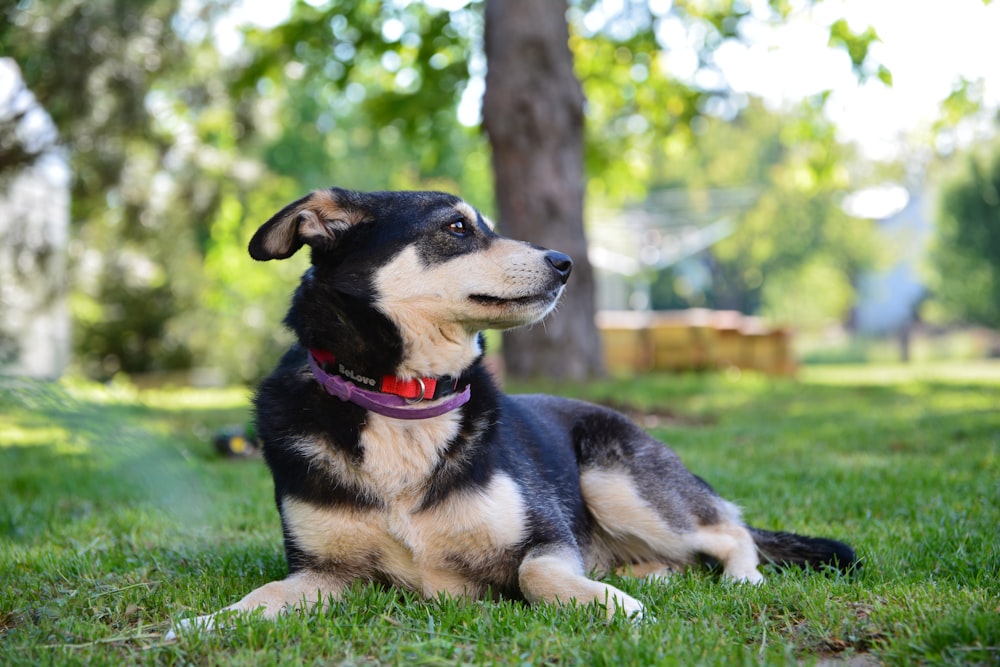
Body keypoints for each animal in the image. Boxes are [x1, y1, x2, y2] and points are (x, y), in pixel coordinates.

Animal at [168, 188, 856, 636]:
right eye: (456, 228)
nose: (565, 262)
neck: (404, 400)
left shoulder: (545, 538)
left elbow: (537, 577)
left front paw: (608, 605)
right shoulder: (325, 575)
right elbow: (263, 595)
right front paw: (205, 622)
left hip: (617, 481)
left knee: (731, 530)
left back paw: (735, 581)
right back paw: (644, 576)